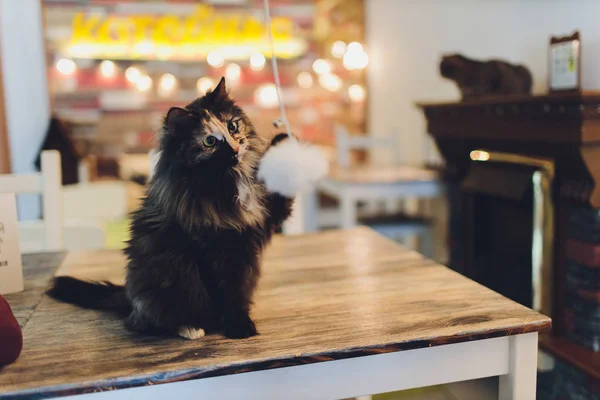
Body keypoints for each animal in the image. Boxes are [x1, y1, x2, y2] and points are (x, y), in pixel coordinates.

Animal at [49, 79, 298, 340]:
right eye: (210, 141)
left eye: (232, 126)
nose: (235, 148)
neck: (231, 181)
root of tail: (128, 296)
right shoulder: (211, 251)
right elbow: (223, 294)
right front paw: (236, 327)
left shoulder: (258, 227)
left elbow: (236, 292)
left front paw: (283, 141)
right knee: (154, 320)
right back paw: (191, 328)